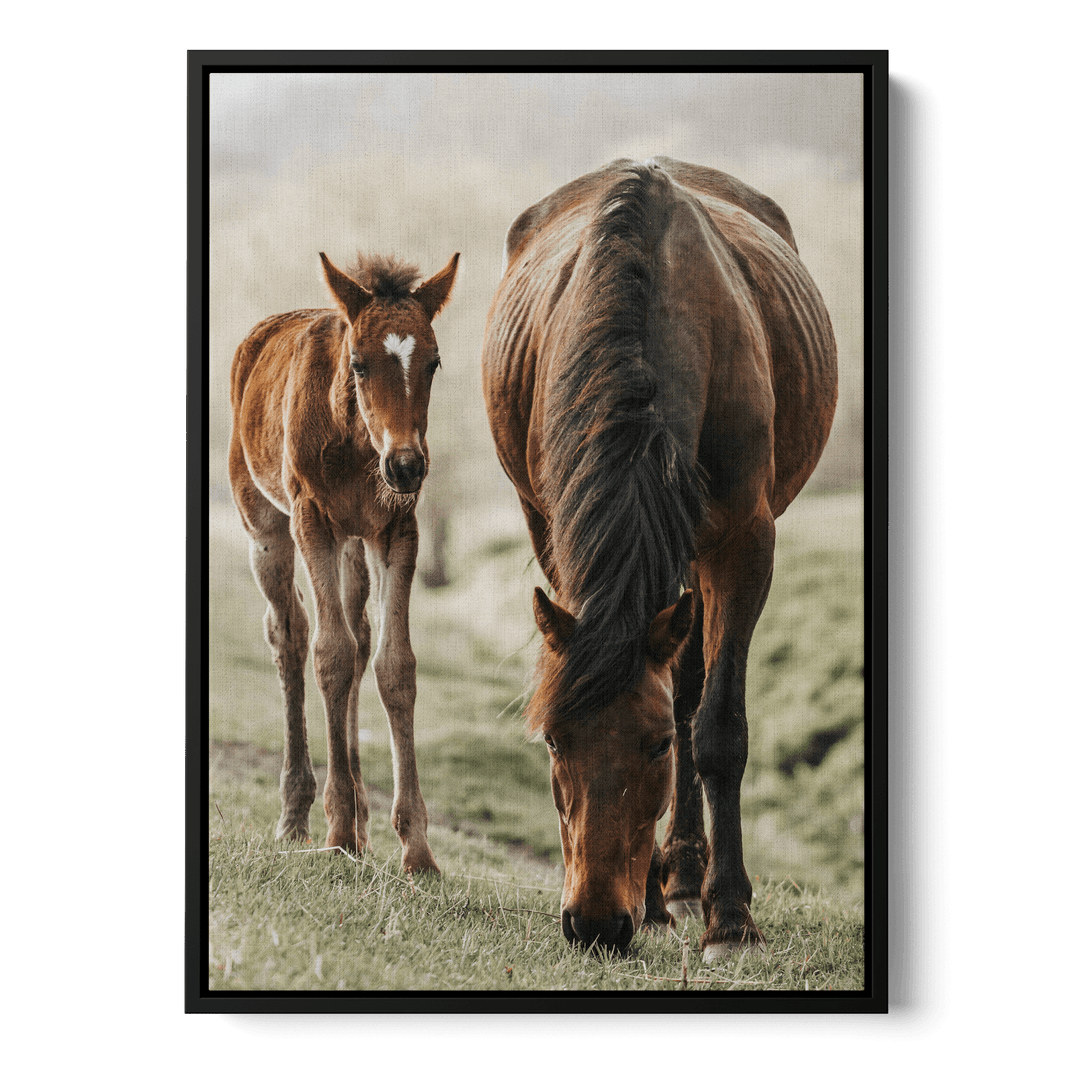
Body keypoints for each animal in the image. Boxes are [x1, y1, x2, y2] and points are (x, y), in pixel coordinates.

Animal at [229, 249, 459, 873]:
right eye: (358, 364)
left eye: (433, 363)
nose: (406, 466)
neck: (359, 447)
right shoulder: (313, 521)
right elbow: (328, 653)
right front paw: (335, 832)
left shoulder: (396, 530)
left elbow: (393, 665)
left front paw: (416, 849)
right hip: (266, 526)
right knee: (290, 633)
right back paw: (298, 814)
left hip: (355, 546)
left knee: (359, 638)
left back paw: (359, 817)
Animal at [481, 158, 837, 958]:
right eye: (554, 741)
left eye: (653, 749)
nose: (594, 924)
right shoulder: (556, 533)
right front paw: (650, 897)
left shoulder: (744, 541)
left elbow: (715, 727)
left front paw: (729, 918)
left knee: (691, 688)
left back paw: (690, 877)